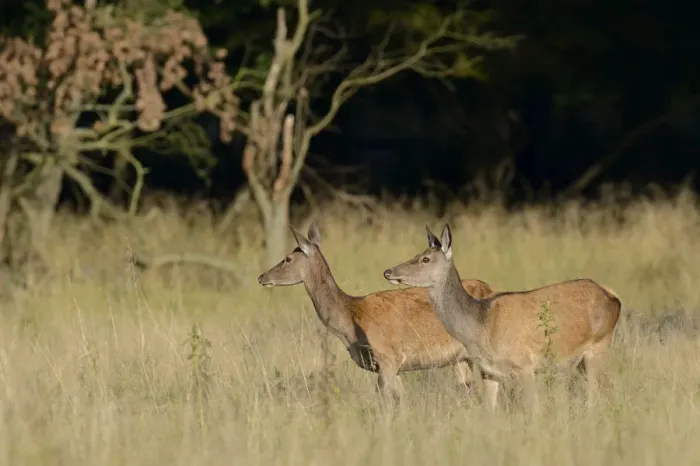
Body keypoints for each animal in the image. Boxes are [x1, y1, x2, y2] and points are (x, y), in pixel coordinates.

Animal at [257, 221, 496, 404]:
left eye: (287, 258)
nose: (261, 277)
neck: (350, 318)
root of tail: (490, 288)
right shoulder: (393, 366)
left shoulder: (388, 357)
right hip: (461, 359)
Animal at [382, 224, 622, 412]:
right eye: (417, 254)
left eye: (425, 259)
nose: (388, 272)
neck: (481, 326)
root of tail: (614, 296)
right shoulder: (489, 371)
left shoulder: (525, 365)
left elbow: (533, 410)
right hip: (581, 359)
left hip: (599, 345)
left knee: (596, 393)